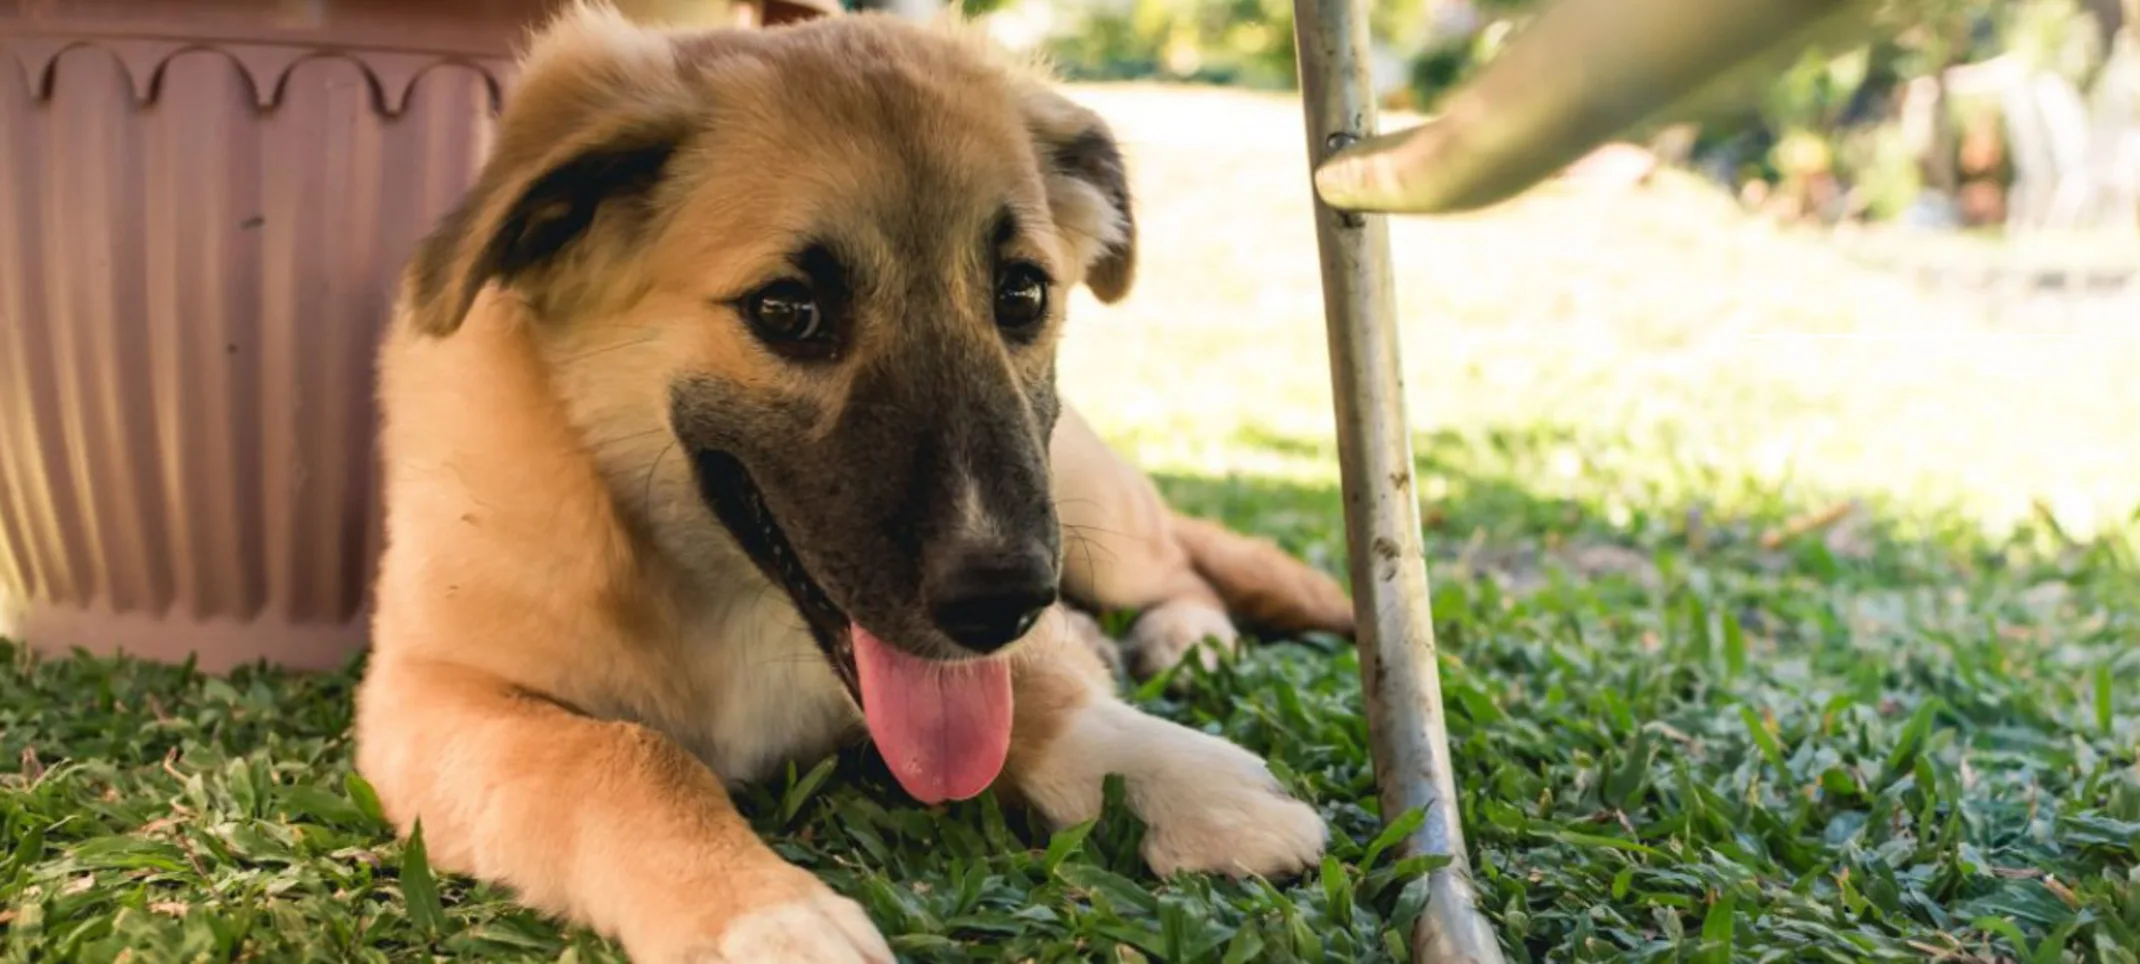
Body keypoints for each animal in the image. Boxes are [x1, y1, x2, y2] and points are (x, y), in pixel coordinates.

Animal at [357, 3, 1343, 959]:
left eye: (1022, 294)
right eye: (788, 310)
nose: (1002, 603)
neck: (714, 593)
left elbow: (1031, 691)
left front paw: (1177, 774)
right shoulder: (427, 696)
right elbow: (622, 758)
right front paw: (763, 914)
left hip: (1091, 509)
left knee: (1181, 566)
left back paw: (1185, 639)